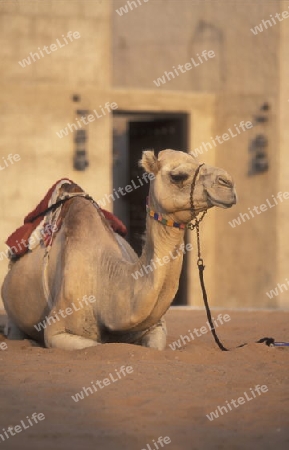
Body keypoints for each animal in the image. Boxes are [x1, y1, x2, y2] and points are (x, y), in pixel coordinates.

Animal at [1, 149, 236, 350]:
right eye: (178, 176)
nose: (228, 183)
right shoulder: (57, 331)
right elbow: (94, 345)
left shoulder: (156, 326)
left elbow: (155, 345)